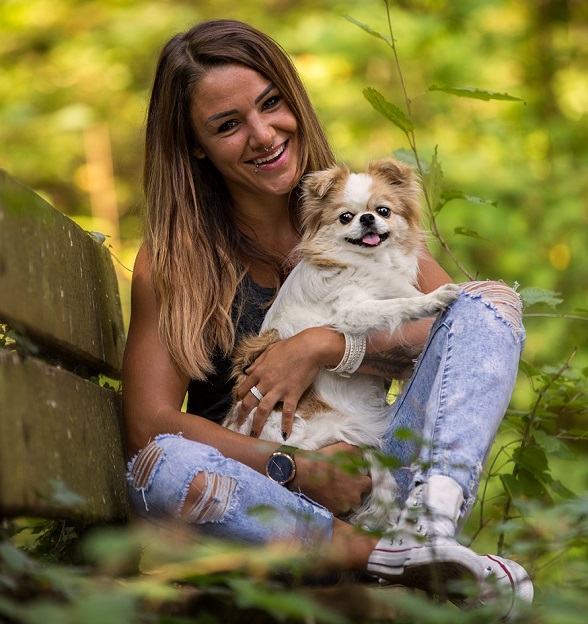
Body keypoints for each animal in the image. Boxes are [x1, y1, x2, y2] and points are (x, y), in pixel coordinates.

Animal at [225, 158, 460, 528]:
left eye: (383, 210)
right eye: (346, 217)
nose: (367, 219)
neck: (370, 264)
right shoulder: (351, 311)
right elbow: (397, 305)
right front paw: (433, 300)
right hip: (339, 430)